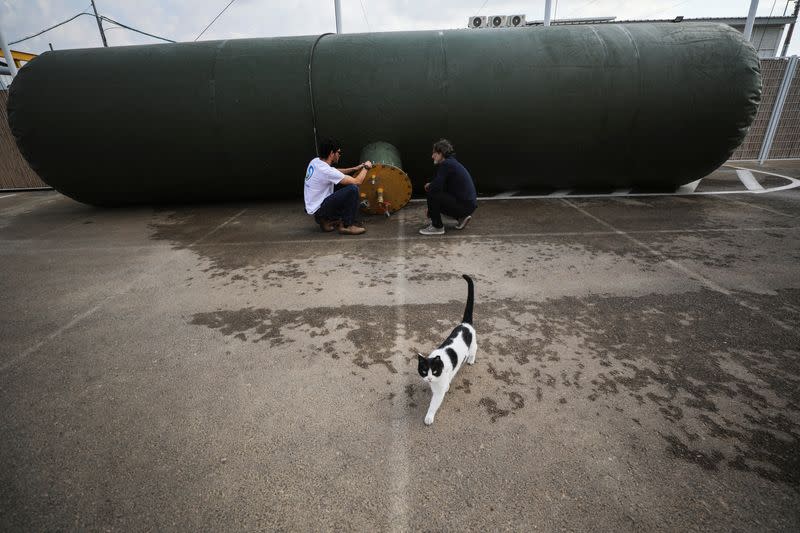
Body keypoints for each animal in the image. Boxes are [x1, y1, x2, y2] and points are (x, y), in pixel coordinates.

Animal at [418, 274, 476, 424]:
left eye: (435, 371)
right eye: (424, 371)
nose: (429, 379)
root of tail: (465, 324)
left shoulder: (438, 390)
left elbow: (434, 403)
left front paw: (429, 417)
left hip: (473, 344)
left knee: (474, 350)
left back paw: (471, 360)